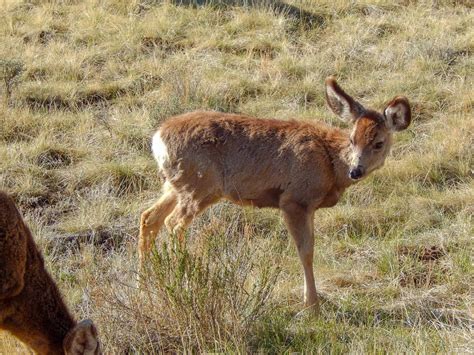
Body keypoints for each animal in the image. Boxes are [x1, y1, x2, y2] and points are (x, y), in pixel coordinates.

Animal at [138, 77, 412, 314]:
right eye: (353, 139)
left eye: (378, 143)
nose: (356, 170)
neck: (330, 162)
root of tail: (158, 139)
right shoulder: (294, 199)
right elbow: (306, 251)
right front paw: (312, 306)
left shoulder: (309, 206)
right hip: (200, 185)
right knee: (173, 223)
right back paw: (180, 282)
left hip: (175, 184)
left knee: (149, 218)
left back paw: (145, 286)